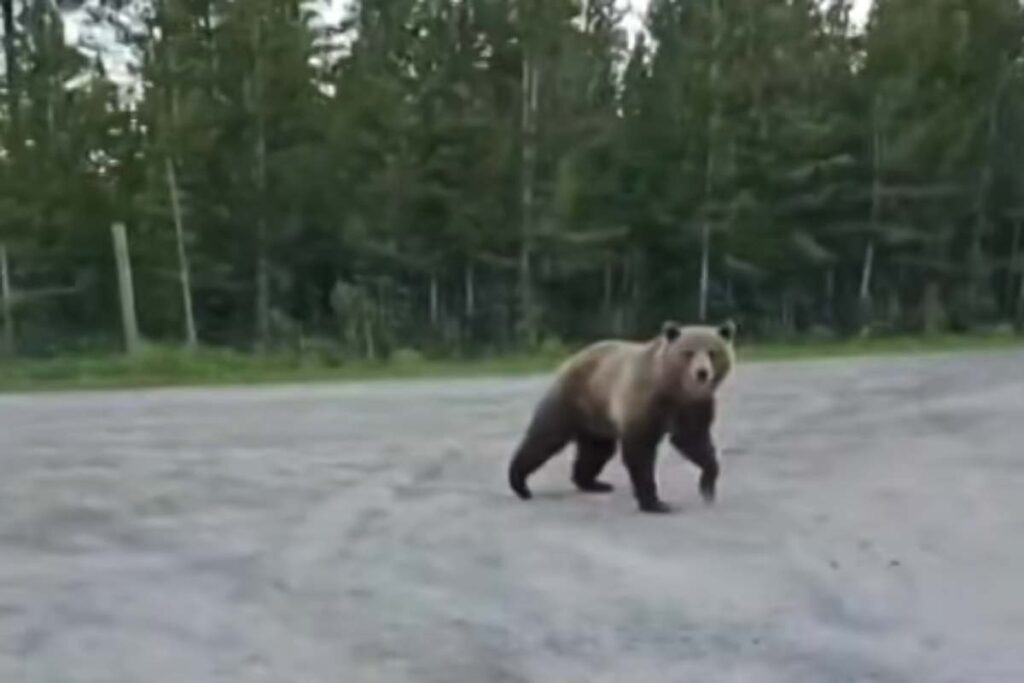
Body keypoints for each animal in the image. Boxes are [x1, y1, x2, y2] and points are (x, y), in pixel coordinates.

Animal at [507, 319, 736, 513]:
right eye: (688, 353)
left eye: (713, 352)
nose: (702, 373)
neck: (674, 389)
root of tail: (575, 357)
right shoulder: (644, 400)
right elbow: (640, 450)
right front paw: (656, 503)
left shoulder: (694, 406)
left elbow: (694, 440)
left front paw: (707, 487)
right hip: (573, 397)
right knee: (545, 437)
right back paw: (520, 484)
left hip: (596, 416)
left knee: (597, 450)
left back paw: (593, 483)